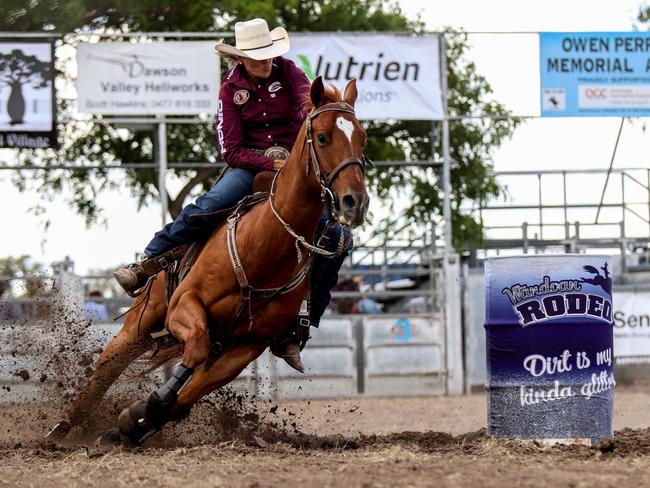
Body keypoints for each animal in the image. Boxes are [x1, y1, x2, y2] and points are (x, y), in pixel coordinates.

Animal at [48, 75, 368, 442]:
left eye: (362, 138)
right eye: (324, 136)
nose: (355, 201)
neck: (264, 245)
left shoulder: (247, 346)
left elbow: (186, 396)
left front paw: (135, 421)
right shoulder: (184, 306)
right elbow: (195, 349)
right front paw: (140, 415)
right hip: (145, 318)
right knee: (108, 365)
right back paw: (62, 427)